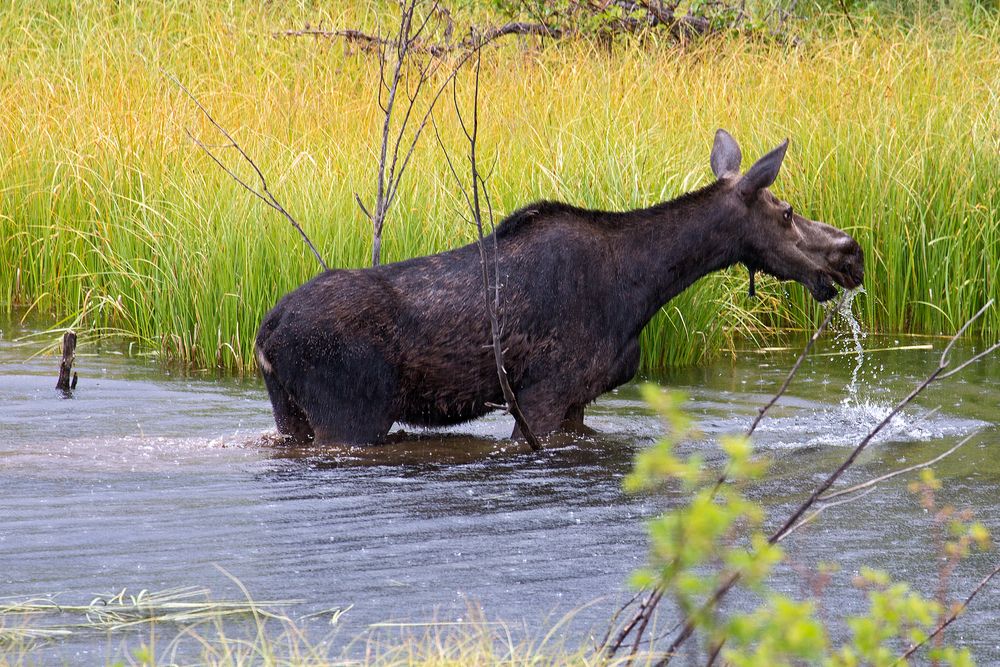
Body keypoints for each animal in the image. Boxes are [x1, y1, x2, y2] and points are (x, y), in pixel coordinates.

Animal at [254, 130, 864, 444]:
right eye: (786, 212)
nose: (851, 253)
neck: (643, 286)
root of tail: (266, 333)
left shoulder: (578, 400)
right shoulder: (543, 396)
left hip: (289, 413)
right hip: (350, 413)